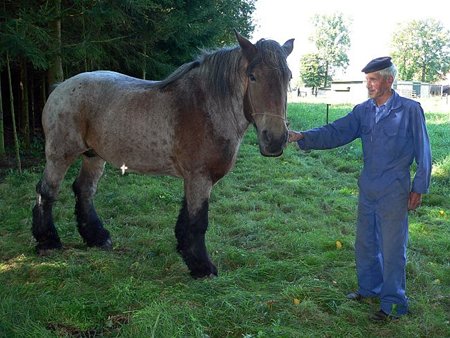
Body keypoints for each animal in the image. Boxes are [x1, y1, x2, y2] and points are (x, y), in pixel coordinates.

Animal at [33, 31, 298, 278]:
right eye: (253, 76)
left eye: (288, 77)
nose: (275, 139)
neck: (206, 107)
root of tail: (60, 88)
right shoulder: (199, 177)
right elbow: (198, 220)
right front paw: (202, 267)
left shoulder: (193, 179)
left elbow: (186, 217)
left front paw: (186, 253)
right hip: (59, 155)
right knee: (47, 191)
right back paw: (48, 241)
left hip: (93, 156)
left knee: (84, 190)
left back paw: (97, 237)